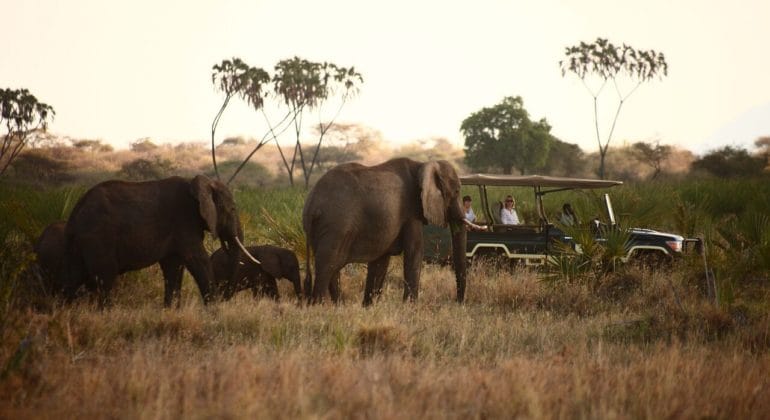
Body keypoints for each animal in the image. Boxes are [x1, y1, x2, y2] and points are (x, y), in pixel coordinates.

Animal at [64, 174, 256, 306]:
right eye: (232, 209)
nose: (225, 296)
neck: (200, 184)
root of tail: (76, 210)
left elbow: (173, 266)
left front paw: (171, 311)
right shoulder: (184, 221)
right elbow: (197, 260)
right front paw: (214, 312)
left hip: (78, 243)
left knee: (72, 278)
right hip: (99, 237)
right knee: (105, 277)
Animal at [304, 158, 464, 306]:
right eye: (457, 191)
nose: (457, 302)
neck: (422, 164)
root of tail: (312, 203)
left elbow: (380, 261)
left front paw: (369, 307)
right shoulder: (411, 211)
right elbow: (415, 251)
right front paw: (409, 308)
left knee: (333, 266)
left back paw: (339, 306)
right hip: (336, 225)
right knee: (328, 264)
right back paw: (320, 306)